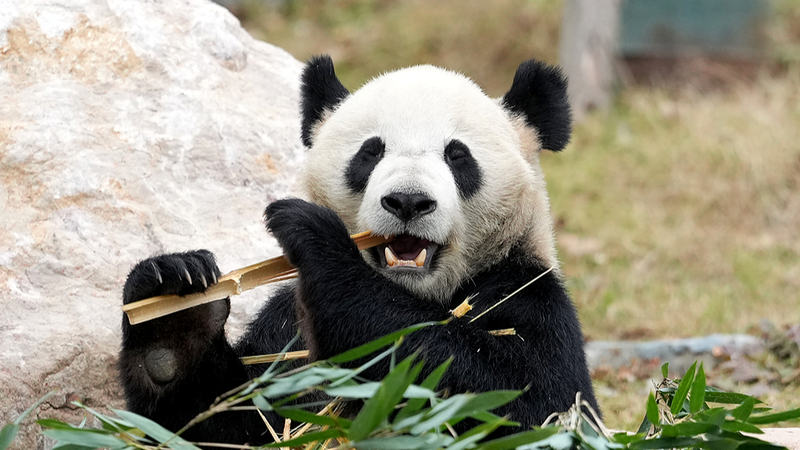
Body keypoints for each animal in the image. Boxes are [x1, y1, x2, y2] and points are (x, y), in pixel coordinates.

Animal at [119, 55, 599, 445]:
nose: (408, 201)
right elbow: (228, 425)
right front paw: (174, 310)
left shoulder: (526, 292)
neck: (416, 291)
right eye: (370, 152)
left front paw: (315, 236)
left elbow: (519, 400)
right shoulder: (285, 327)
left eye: (457, 155)